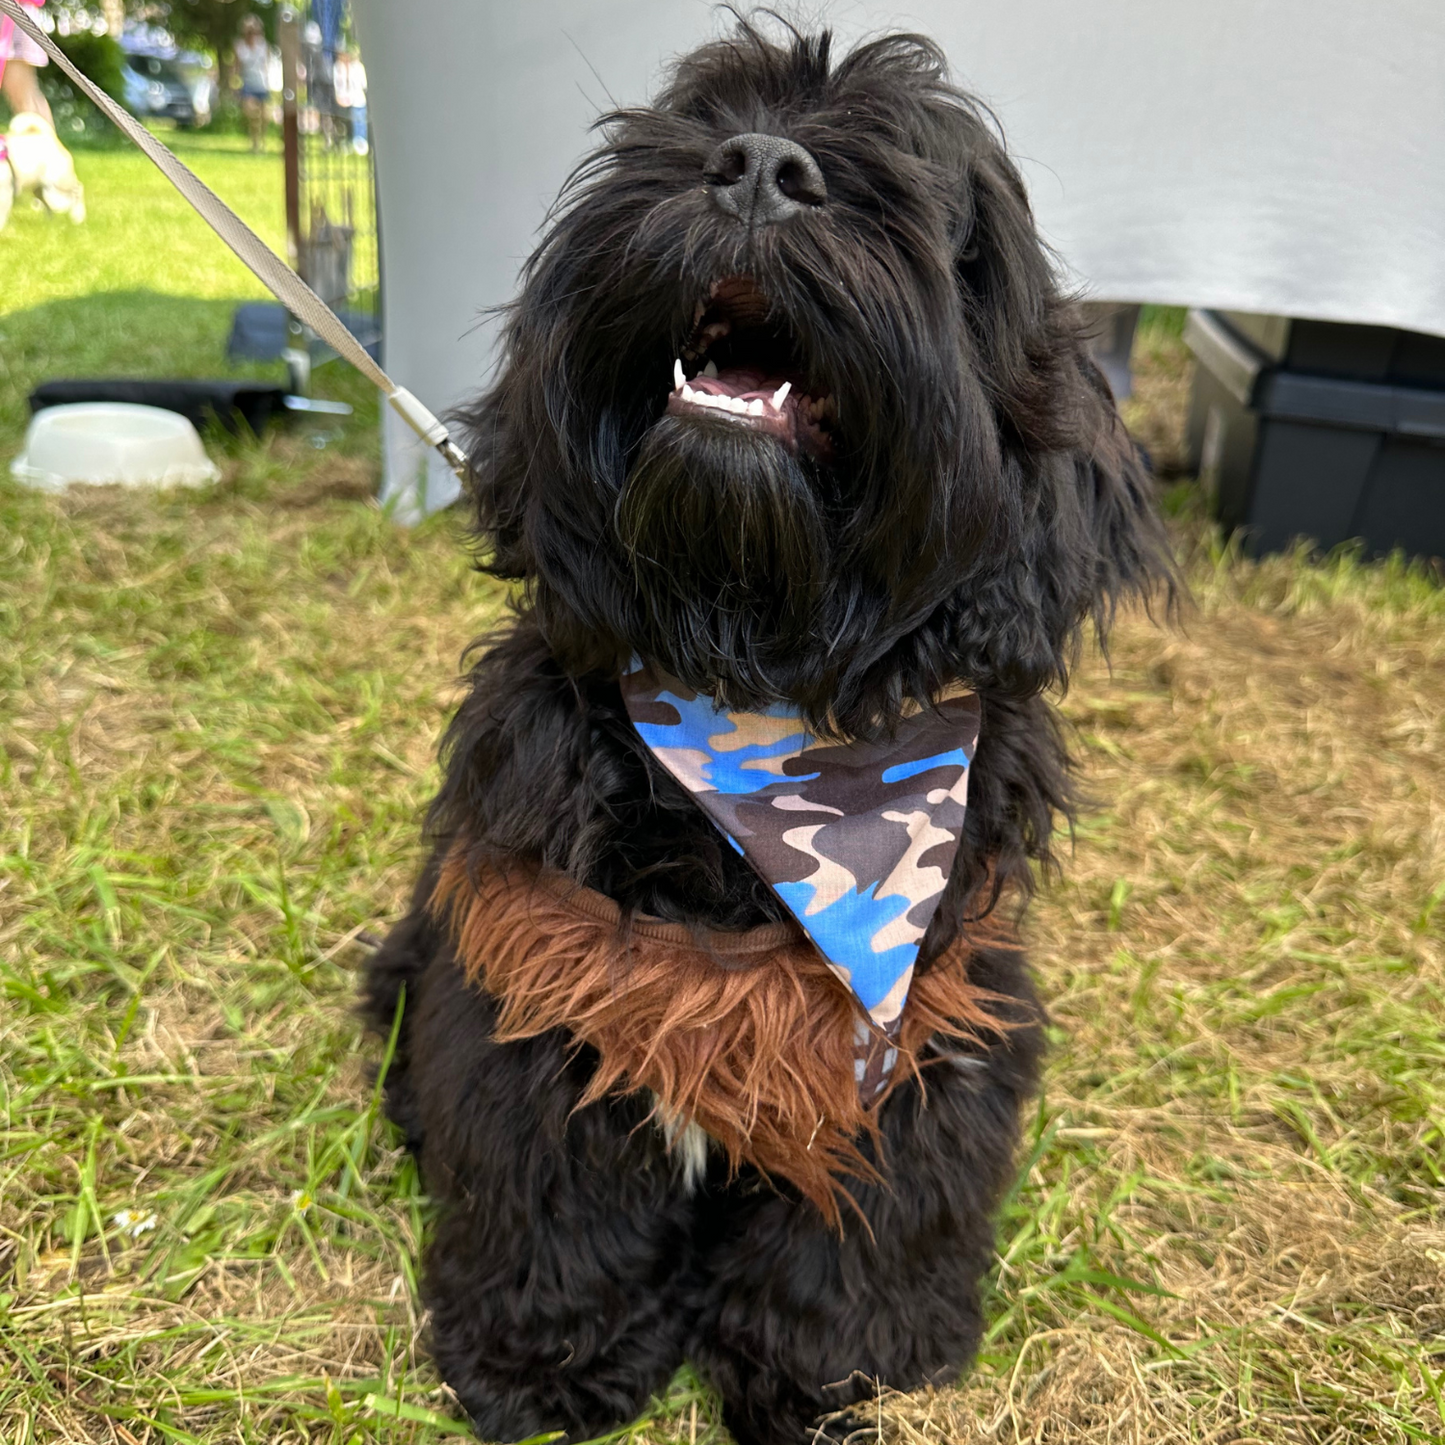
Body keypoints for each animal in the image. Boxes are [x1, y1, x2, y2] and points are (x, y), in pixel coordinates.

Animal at [364, 22, 1173, 1445]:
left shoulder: (921, 1023)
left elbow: (863, 1223)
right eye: (705, 115)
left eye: (926, 186)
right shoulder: (537, 978)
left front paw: (834, 1373)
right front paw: (544, 1356)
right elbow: (549, 1190)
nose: (755, 168)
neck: (757, 680)